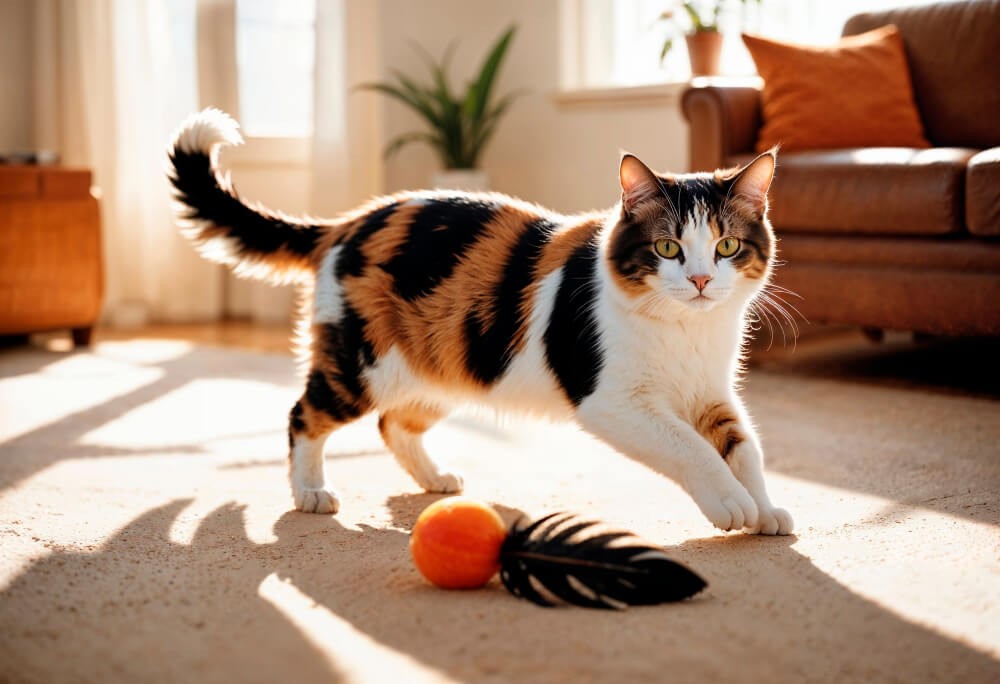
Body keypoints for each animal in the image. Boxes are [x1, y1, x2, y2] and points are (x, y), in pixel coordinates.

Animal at [174, 108, 796, 536]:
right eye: (668, 247)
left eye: (727, 246)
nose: (700, 280)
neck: (686, 334)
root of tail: (346, 221)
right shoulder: (613, 400)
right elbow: (690, 447)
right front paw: (731, 505)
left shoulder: (713, 393)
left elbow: (745, 448)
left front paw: (765, 510)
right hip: (361, 364)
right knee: (304, 415)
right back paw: (310, 492)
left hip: (449, 364)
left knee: (393, 424)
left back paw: (435, 480)